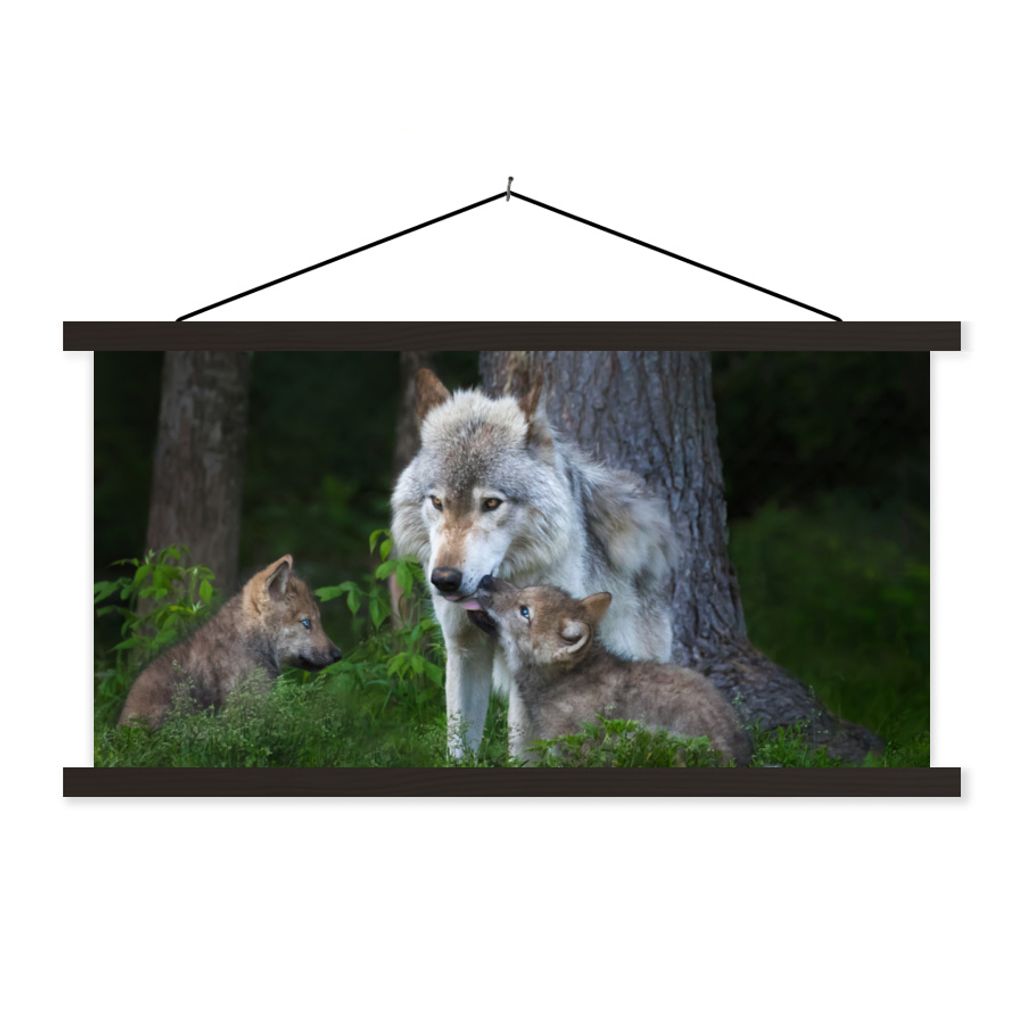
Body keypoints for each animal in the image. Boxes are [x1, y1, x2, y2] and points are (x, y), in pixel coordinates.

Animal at [391, 368, 675, 759]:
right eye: (437, 502)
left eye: (491, 504)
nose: (445, 579)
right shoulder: (464, 649)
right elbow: (459, 742)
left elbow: (522, 750)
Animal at [476, 577, 751, 764]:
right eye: (523, 587)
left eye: (524, 611)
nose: (486, 578)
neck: (562, 681)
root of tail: (736, 752)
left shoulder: (574, 747)